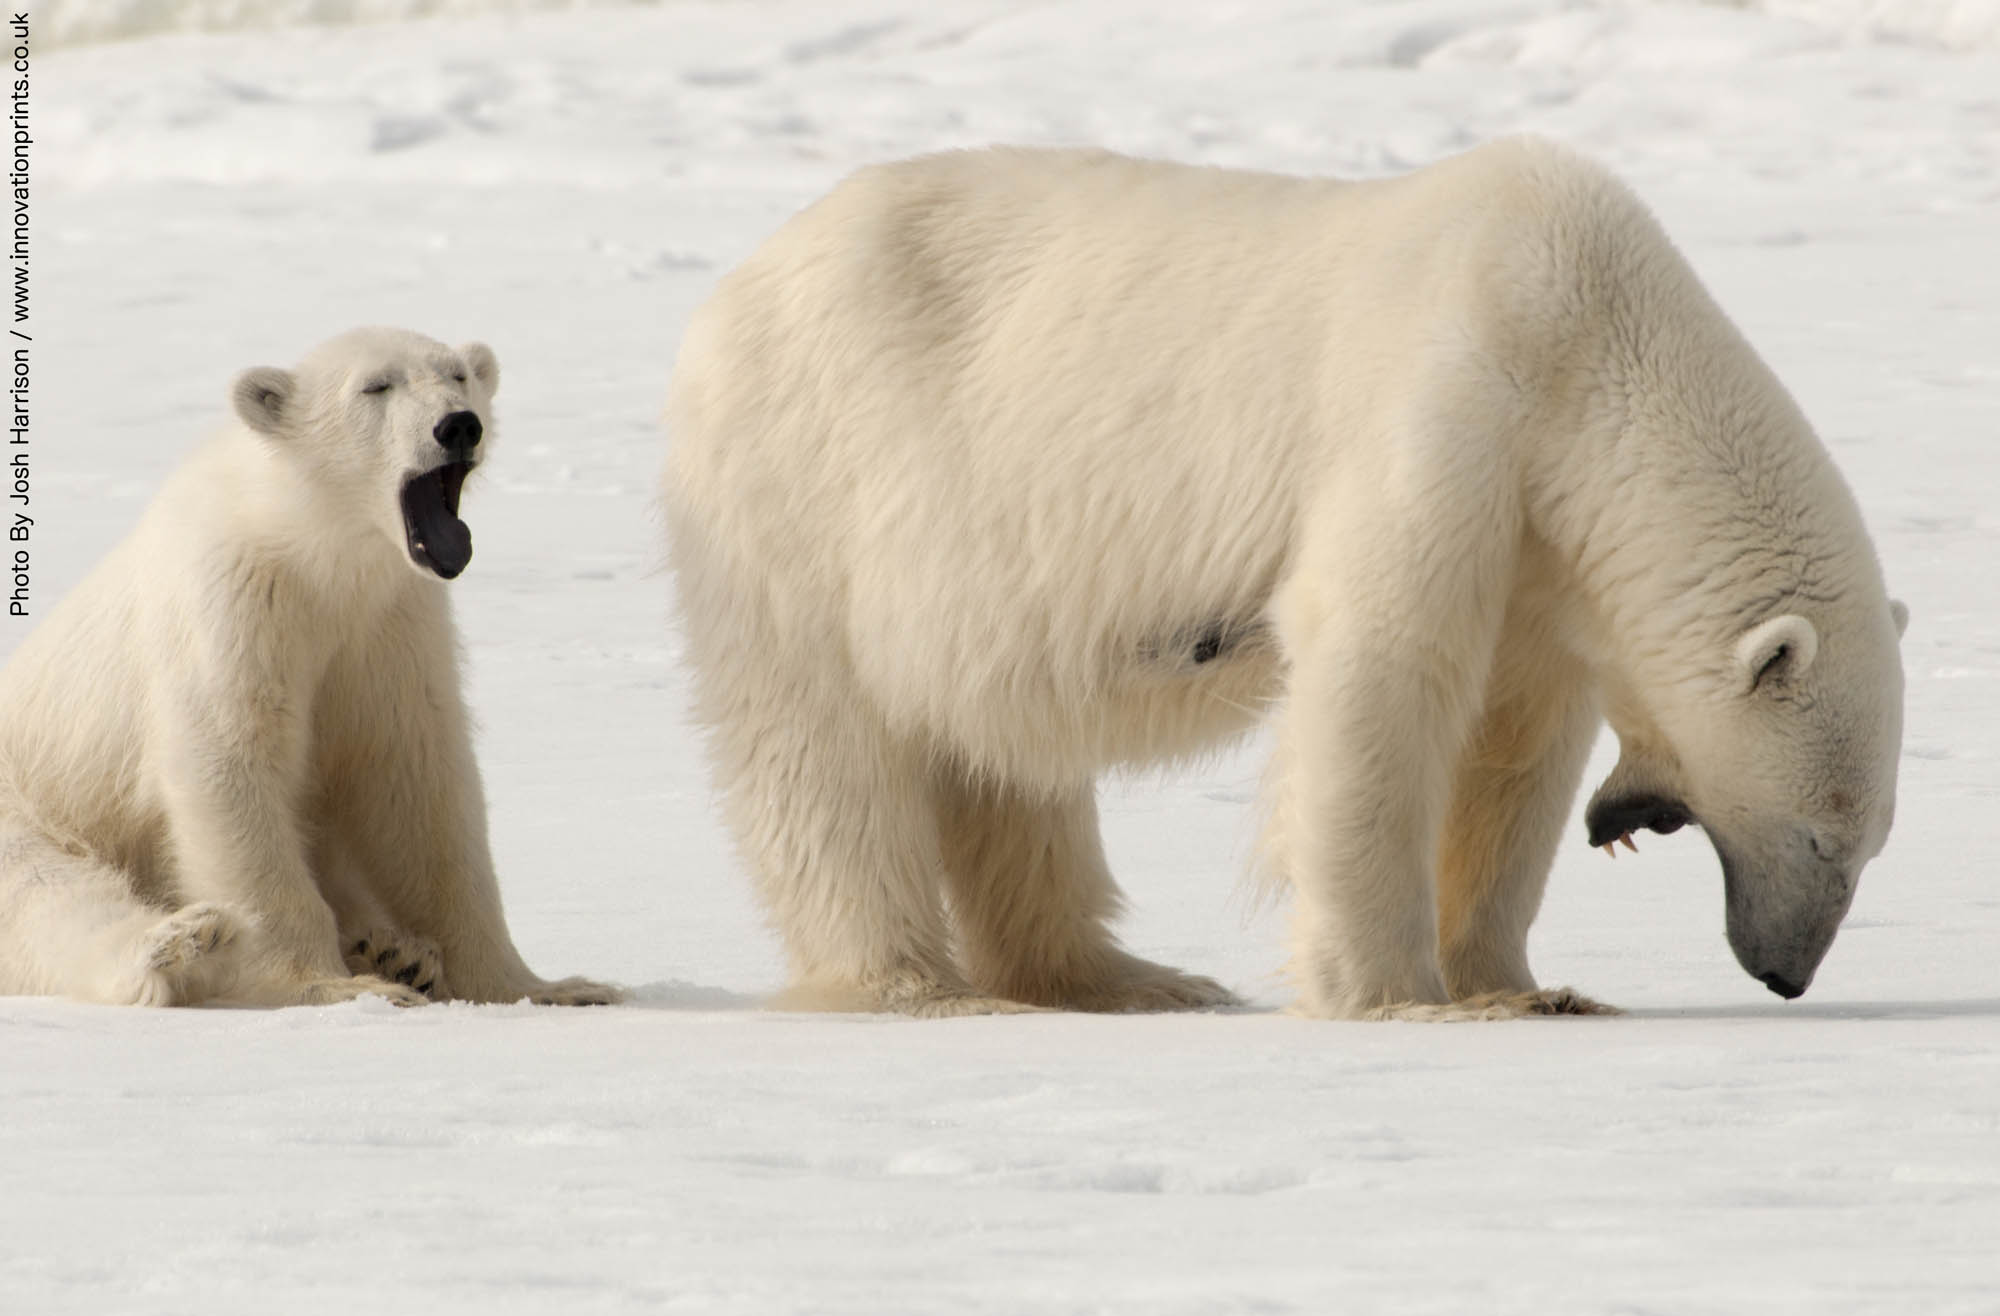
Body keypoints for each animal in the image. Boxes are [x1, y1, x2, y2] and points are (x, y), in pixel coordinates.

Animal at [0, 328, 616, 1004]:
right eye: (376, 386)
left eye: (458, 375)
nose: (459, 425)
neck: (312, 552)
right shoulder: (234, 607)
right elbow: (231, 764)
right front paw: (329, 984)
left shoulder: (391, 629)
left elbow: (419, 788)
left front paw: (550, 988)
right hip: (27, 808)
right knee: (48, 896)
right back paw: (177, 944)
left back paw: (396, 951)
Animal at [668, 138, 1904, 1020]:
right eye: (1821, 835)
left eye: (1871, 841)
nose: (1785, 973)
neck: (1589, 343)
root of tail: (732, 289)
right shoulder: (1443, 411)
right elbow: (1380, 671)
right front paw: (1397, 997)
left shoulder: (1538, 541)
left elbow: (1510, 741)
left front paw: (1521, 984)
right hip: (809, 483)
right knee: (822, 750)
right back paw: (916, 984)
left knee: (1003, 752)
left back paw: (1122, 976)